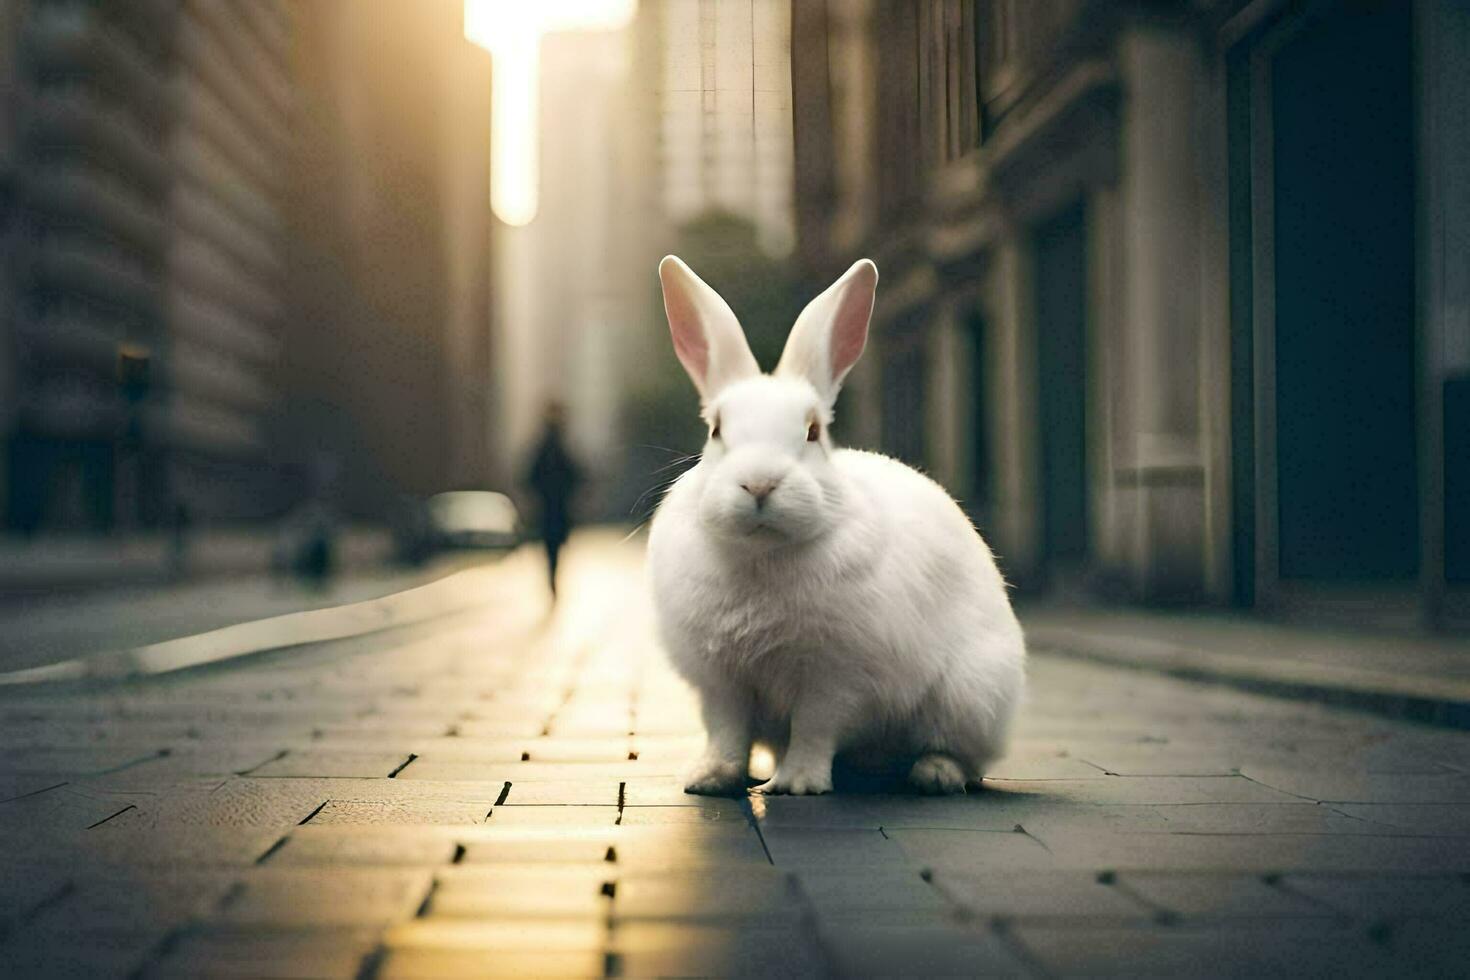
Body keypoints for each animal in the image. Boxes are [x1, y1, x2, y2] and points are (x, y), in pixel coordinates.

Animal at [649, 255, 1029, 799]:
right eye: (716, 430)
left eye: (813, 432)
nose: (759, 483)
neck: (762, 554)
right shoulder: (721, 683)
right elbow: (726, 732)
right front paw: (710, 779)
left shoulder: (835, 678)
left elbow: (814, 729)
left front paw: (797, 785)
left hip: (973, 695)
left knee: (964, 756)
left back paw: (934, 774)